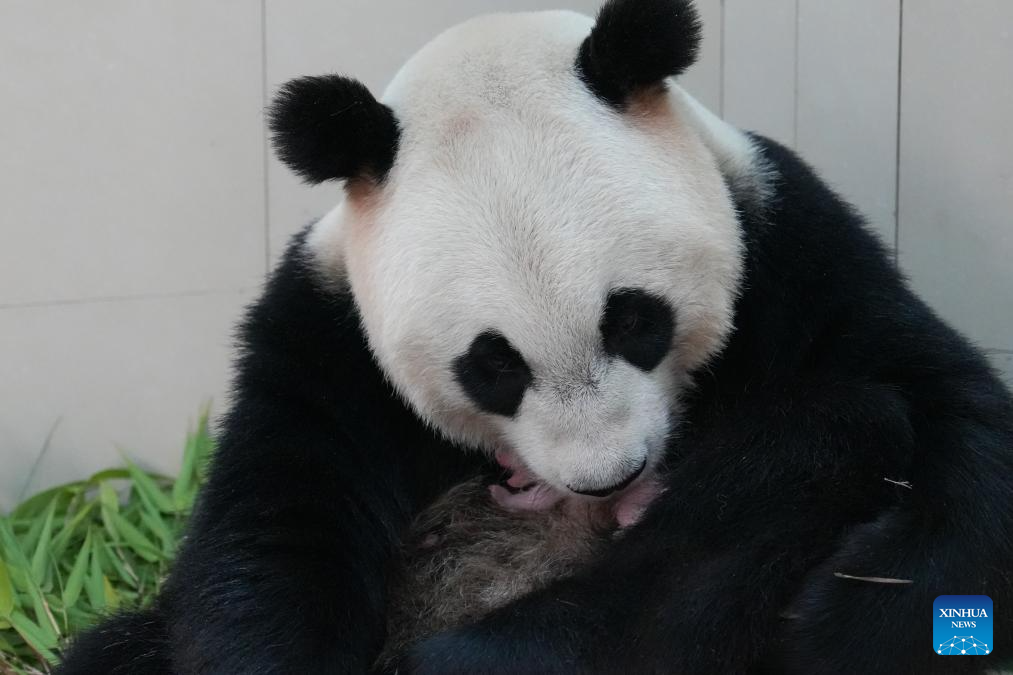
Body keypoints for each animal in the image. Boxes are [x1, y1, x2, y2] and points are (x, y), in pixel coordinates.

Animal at [57, 0, 1013, 673]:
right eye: (492, 367)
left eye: (636, 320)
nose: (610, 478)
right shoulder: (323, 335)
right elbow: (274, 535)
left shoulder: (789, 247)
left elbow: (953, 416)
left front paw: (841, 613)